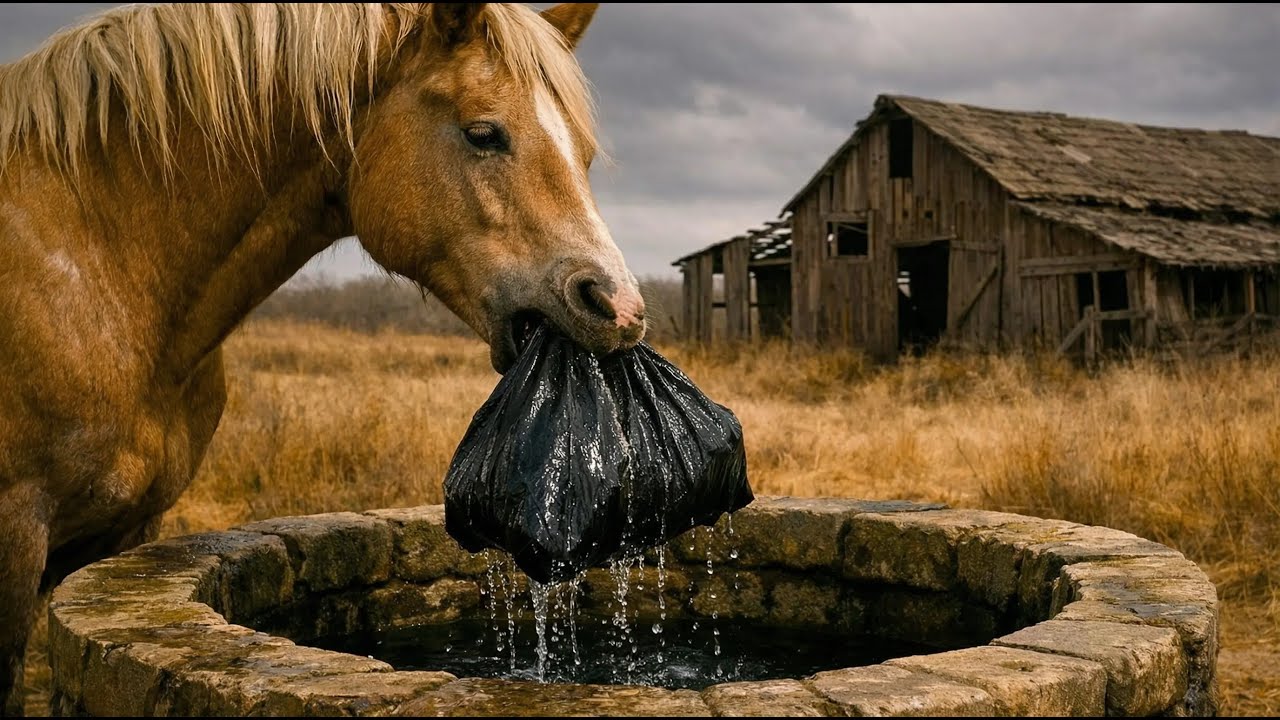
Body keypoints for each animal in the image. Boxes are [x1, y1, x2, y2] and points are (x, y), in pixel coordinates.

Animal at [0, 3, 645, 713]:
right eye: (483, 133)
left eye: (583, 153)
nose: (619, 308)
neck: (98, 261)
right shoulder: (16, 535)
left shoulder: (132, 528)